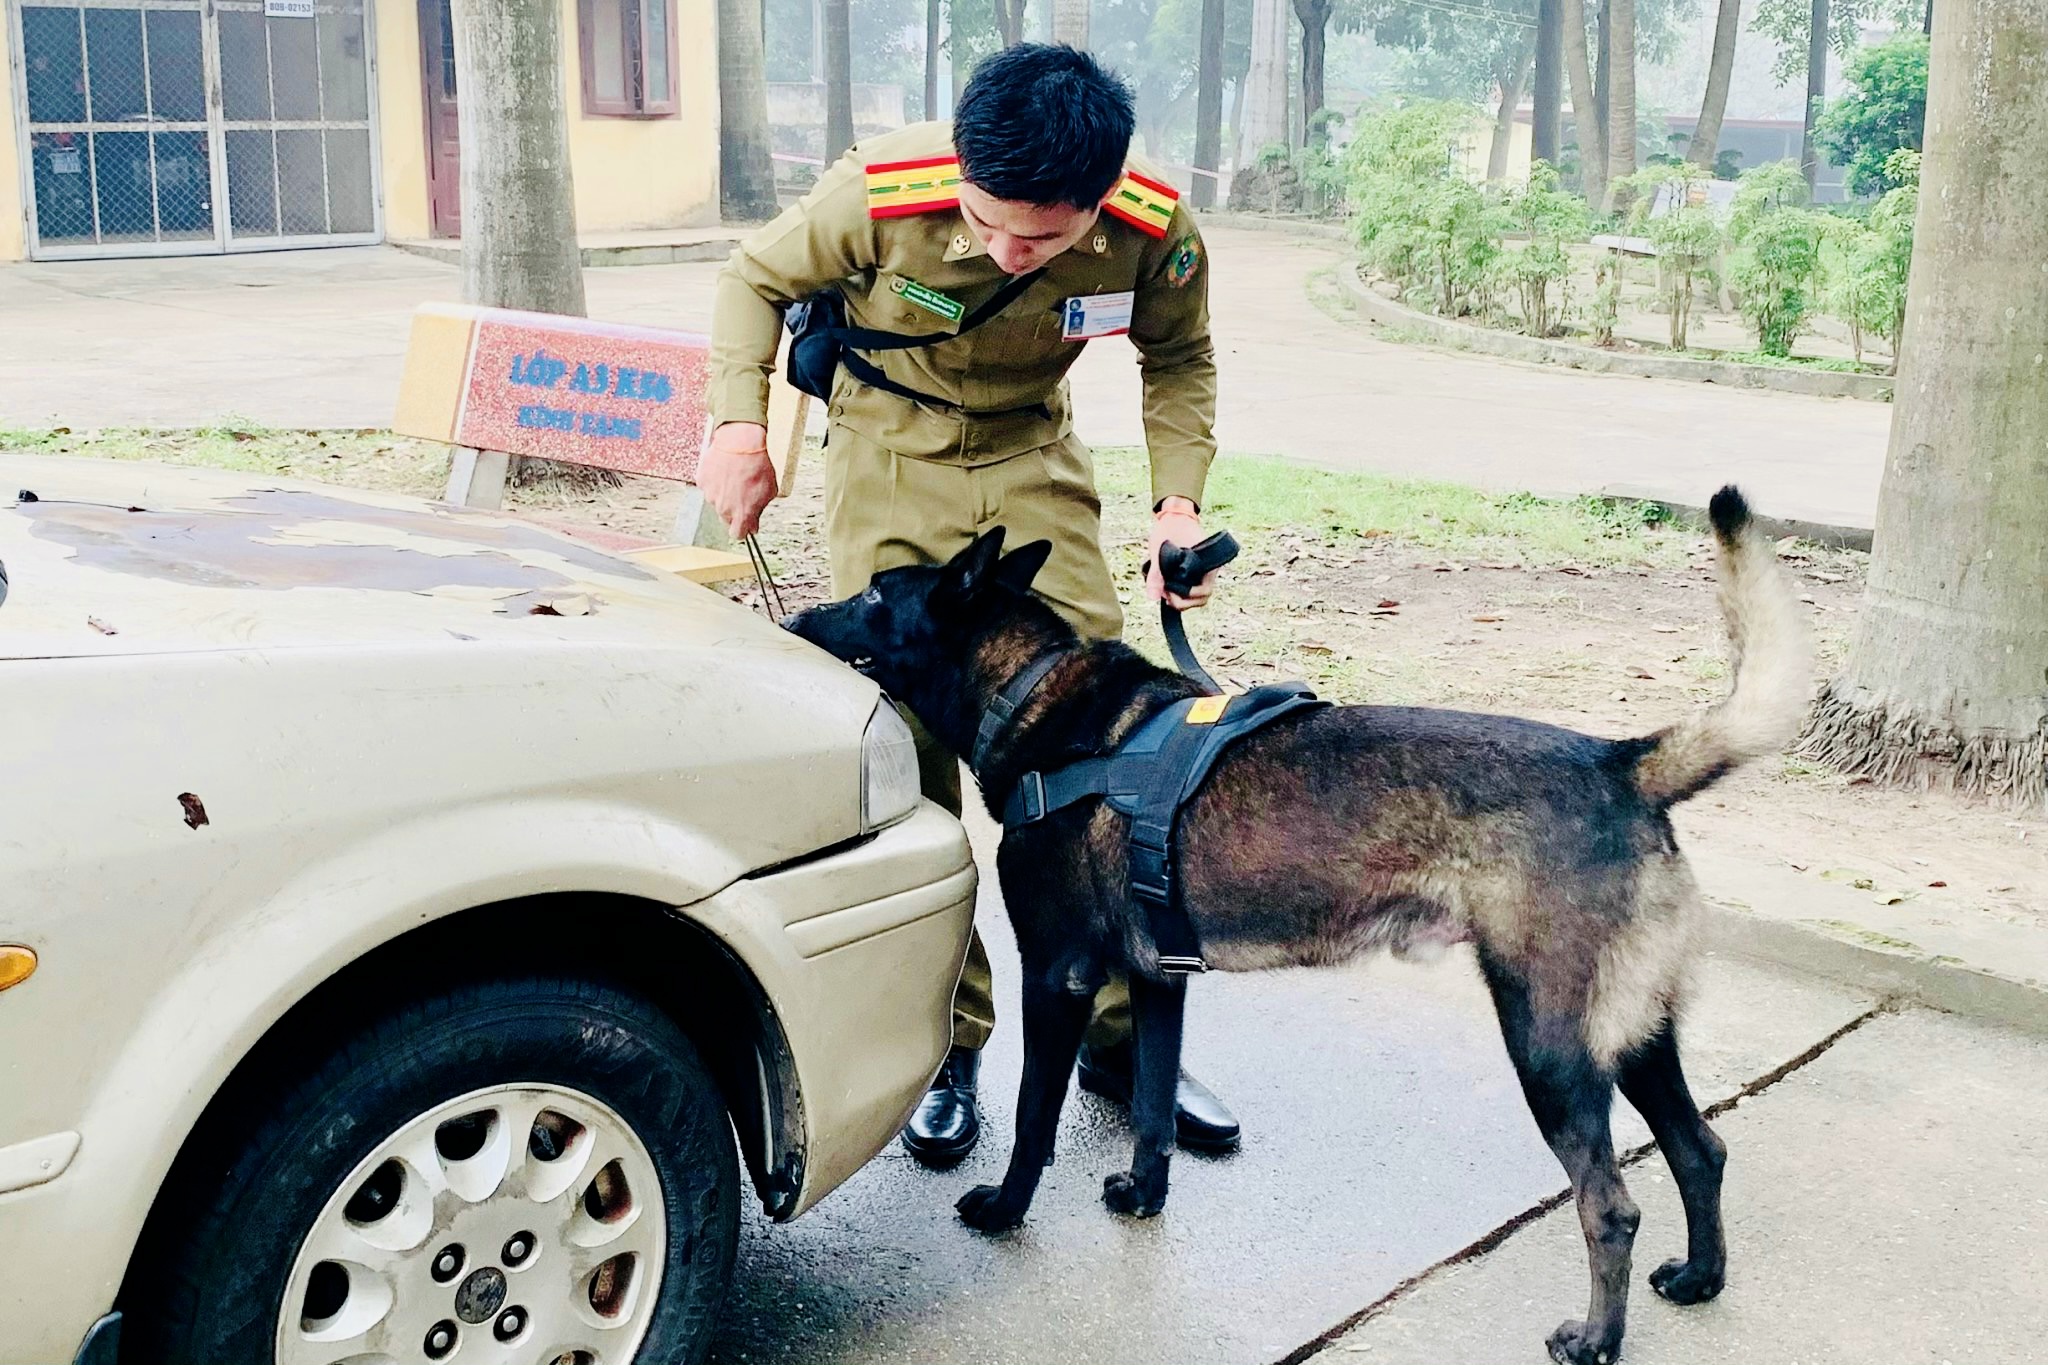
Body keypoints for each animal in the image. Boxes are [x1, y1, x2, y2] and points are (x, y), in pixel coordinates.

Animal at [782, 485, 1810, 1358]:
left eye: (872, 594)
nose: (794, 619)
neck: (1038, 697)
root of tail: (1620, 761)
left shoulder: (1058, 975)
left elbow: (1038, 1115)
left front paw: (1003, 1208)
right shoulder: (1158, 979)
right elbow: (1150, 1109)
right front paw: (1142, 1197)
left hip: (1551, 1048)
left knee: (1611, 1205)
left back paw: (1596, 1339)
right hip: (1634, 1034)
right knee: (1701, 1147)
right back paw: (1701, 1277)